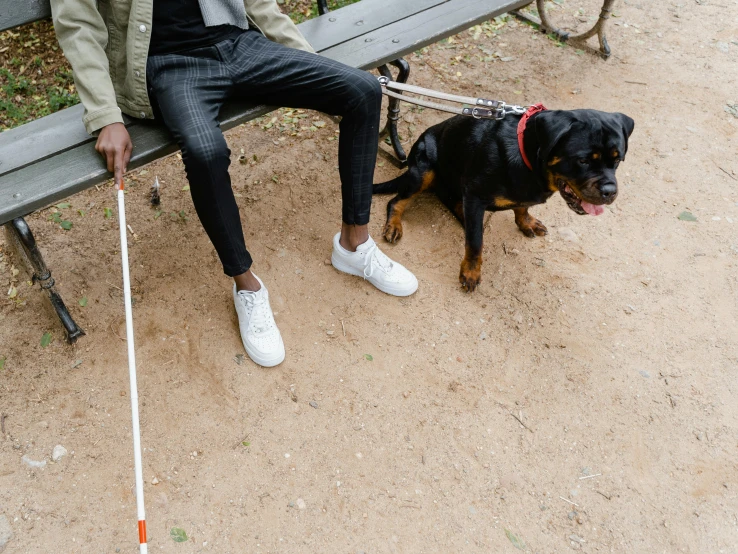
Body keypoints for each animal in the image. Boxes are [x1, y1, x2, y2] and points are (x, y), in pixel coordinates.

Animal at [374, 105, 632, 292]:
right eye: (583, 160)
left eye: (618, 159)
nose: (610, 191)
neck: (528, 159)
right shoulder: (475, 195)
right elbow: (475, 243)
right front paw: (471, 272)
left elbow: (522, 208)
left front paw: (526, 222)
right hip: (424, 169)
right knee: (396, 201)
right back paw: (394, 225)